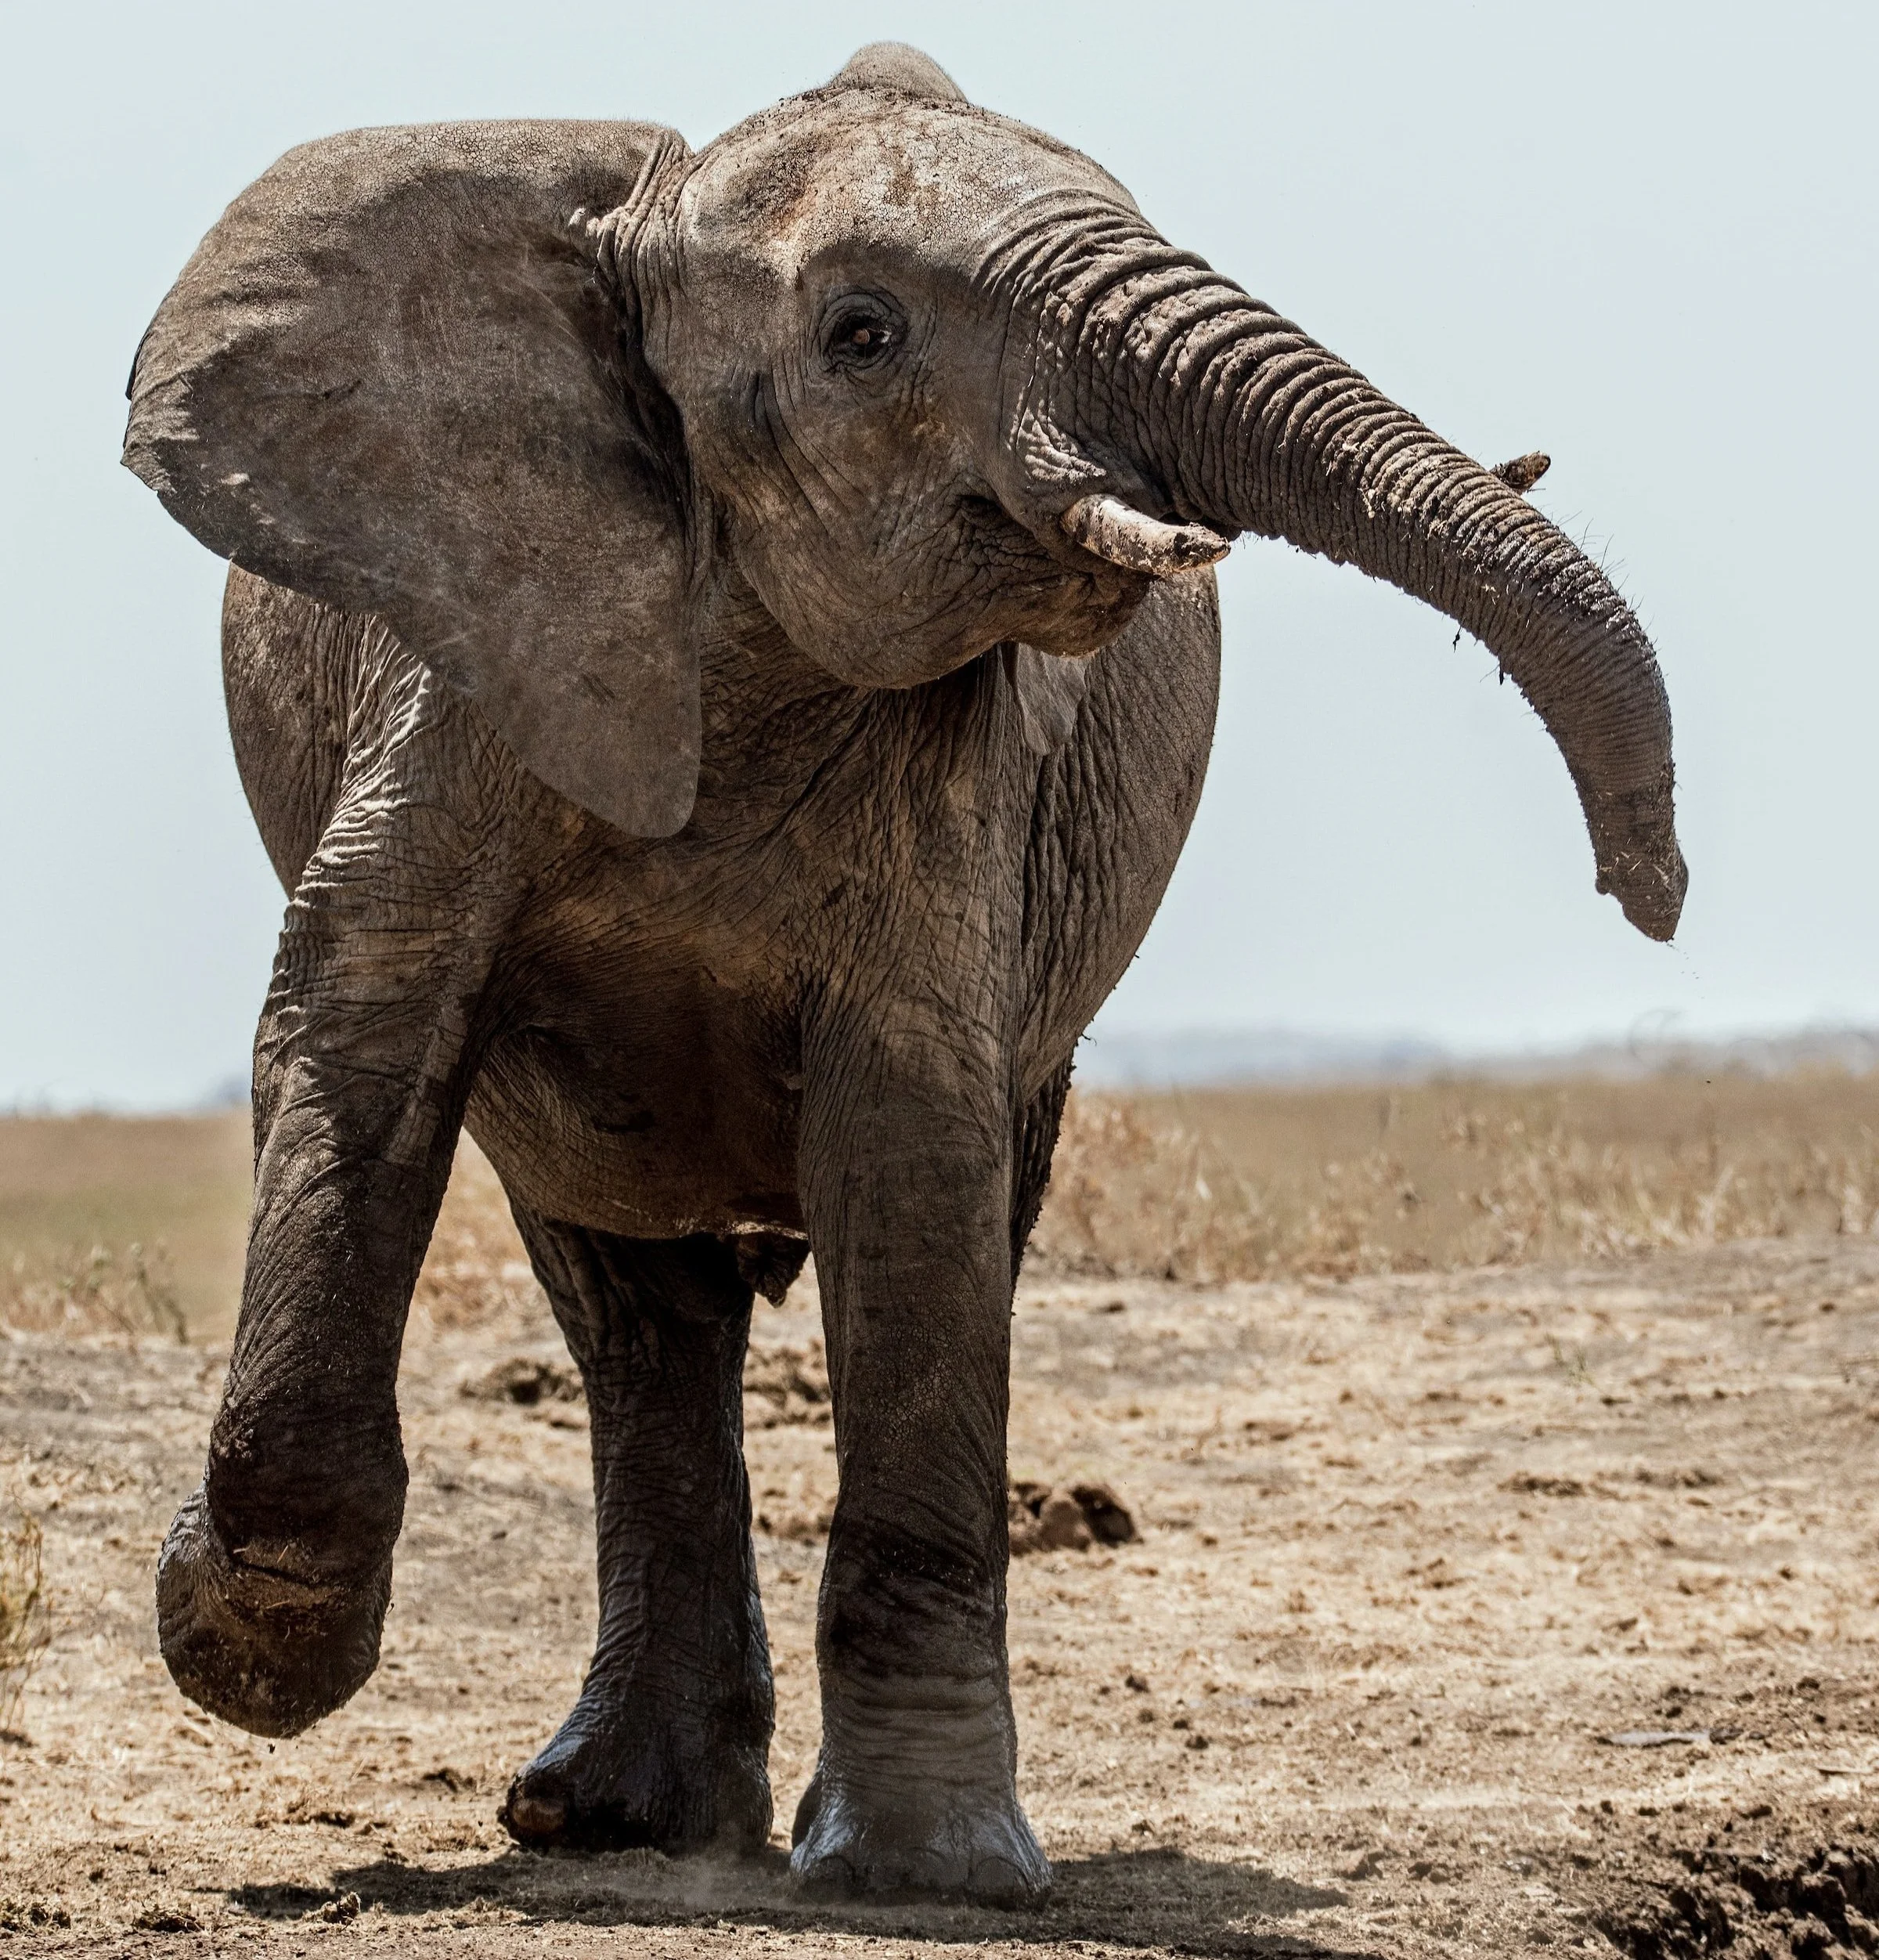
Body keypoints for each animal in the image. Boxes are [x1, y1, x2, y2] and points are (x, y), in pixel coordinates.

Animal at [122, 41, 1684, 1906]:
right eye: (864, 334)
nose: (1650, 892)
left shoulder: (959, 773)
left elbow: (913, 1139)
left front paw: (924, 1877)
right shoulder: (468, 658)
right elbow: (359, 1017)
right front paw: (244, 1652)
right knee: (633, 1306)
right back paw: (605, 1818)